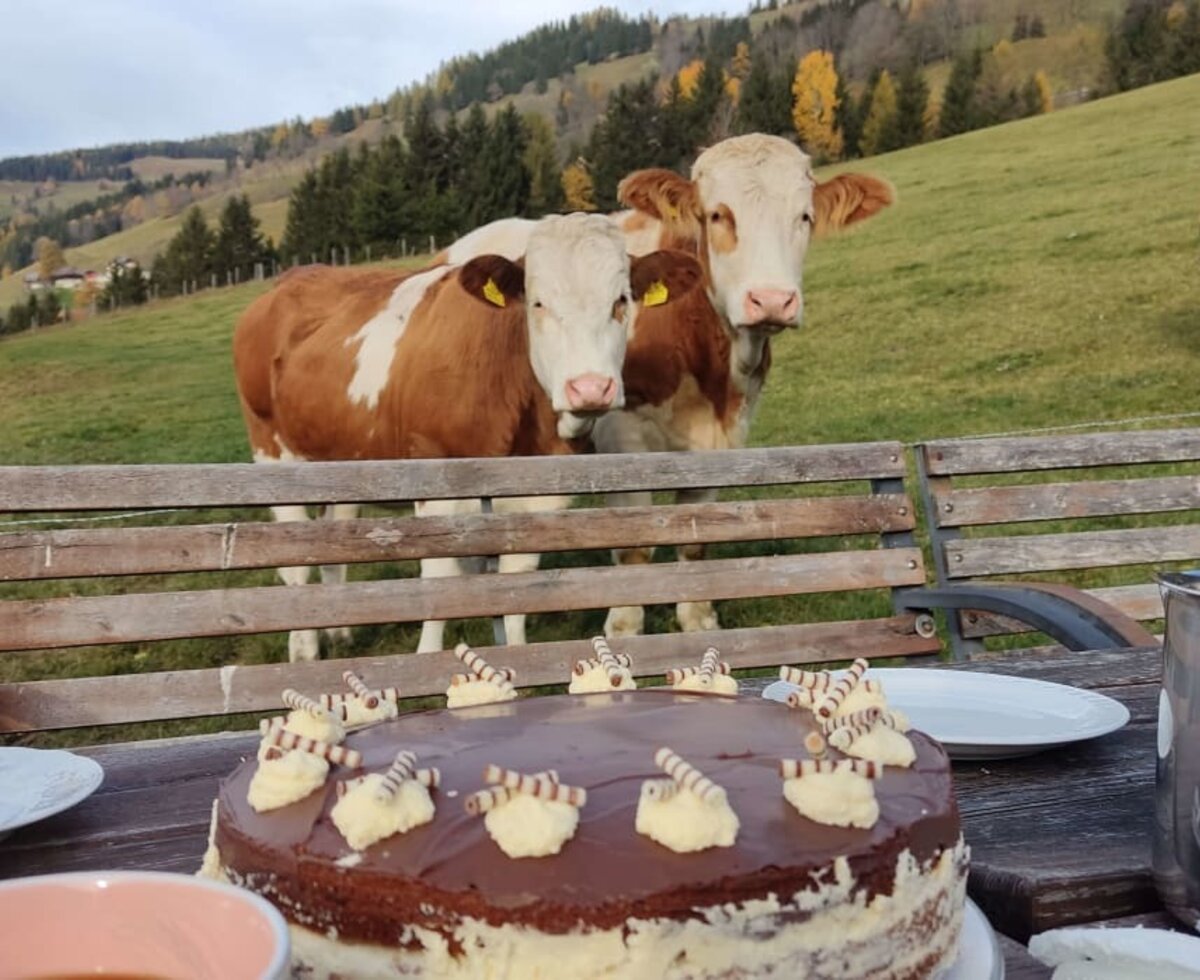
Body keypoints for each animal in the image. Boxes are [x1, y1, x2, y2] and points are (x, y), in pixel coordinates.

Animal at [232, 212, 700, 657]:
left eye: (620, 301)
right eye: (537, 303)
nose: (589, 388)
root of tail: (291, 279)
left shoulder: (540, 496)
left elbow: (517, 579)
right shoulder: (434, 485)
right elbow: (441, 578)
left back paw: (338, 628)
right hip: (272, 453)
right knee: (295, 560)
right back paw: (304, 648)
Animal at [439, 133, 892, 638]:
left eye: (805, 216)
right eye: (717, 214)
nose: (772, 300)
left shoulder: (722, 444)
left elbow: (694, 539)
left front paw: (698, 621)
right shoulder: (623, 443)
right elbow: (635, 547)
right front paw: (623, 628)